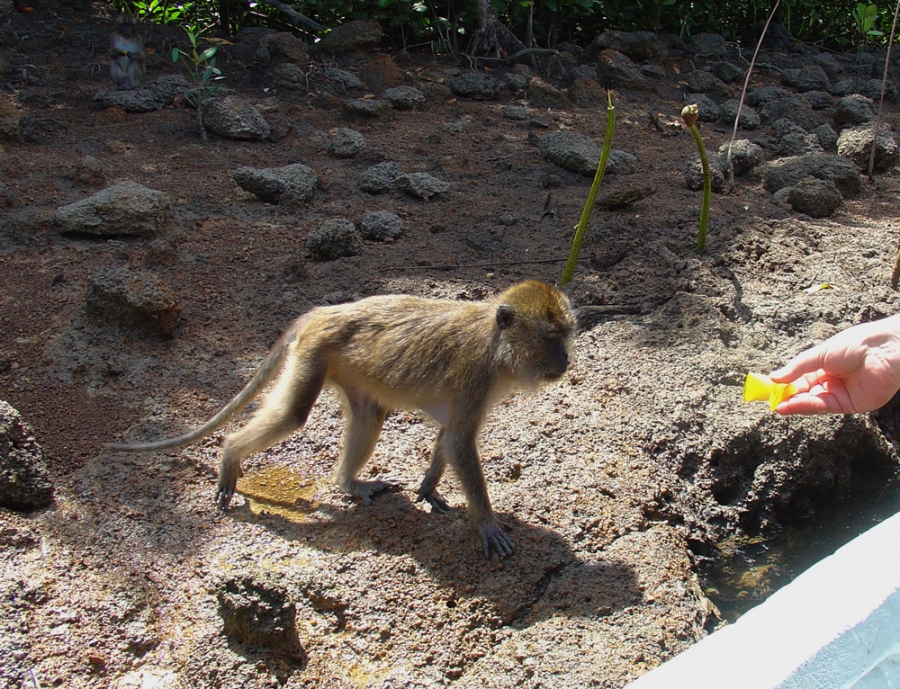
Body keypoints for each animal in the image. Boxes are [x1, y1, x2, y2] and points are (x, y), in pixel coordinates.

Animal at [109, 282, 576, 556]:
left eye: (566, 336)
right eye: (551, 338)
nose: (566, 360)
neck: (498, 347)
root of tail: (325, 312)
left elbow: (449, 437)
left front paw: (428, 490)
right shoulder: (474, 376)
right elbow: (460, 440)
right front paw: (487, 524)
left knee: (370, 415)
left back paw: (349, 483)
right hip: (314, 352)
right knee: (293, 414)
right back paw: (229, 457)